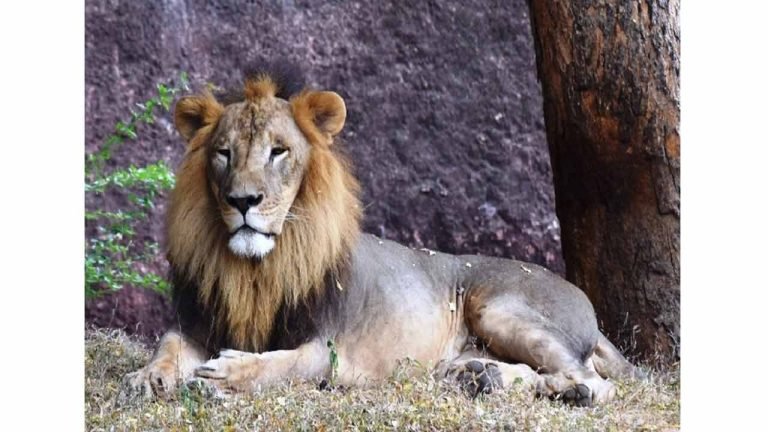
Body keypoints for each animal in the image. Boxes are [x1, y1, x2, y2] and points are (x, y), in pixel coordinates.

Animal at [123, 66, 638, 407]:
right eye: (224, 153)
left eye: (278, 151)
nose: (242, 200)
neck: (257, 270)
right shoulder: (199, 321)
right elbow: (168, 343)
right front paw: (147, 376)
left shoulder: (332, 349)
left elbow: (282, 364)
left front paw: (225, 374)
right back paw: (477, 376)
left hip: (499, 307)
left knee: (594, 380)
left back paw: (563, 390)